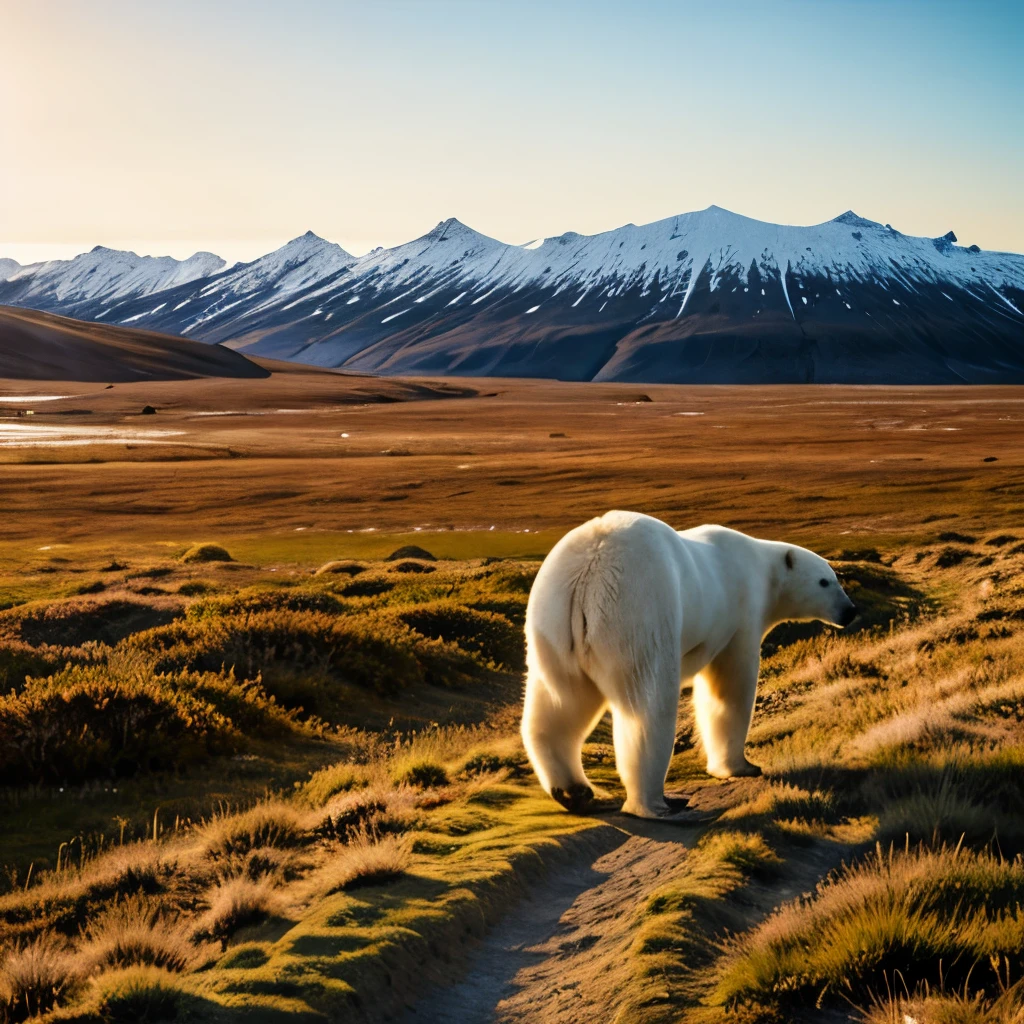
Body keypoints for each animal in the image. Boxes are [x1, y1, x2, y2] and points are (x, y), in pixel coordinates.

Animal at [520, 516, 856, 819]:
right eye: (825, 581)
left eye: (836, 578)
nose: (850, 611)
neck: (761, 568)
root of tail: (589, 575)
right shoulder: (741, 615)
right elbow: (729, 690)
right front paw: (741, 766)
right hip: (637, 613)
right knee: (648, 710)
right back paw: (657, 803)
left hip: (553, 628)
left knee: (559, 704)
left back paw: (575, 792)